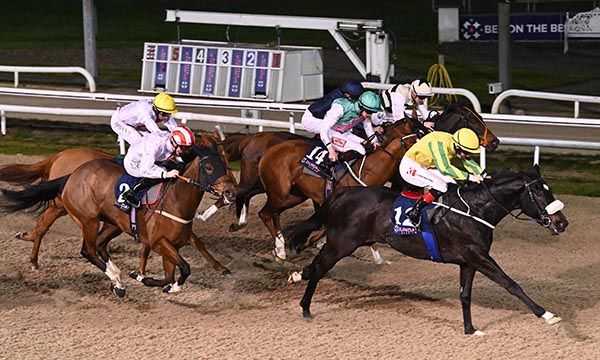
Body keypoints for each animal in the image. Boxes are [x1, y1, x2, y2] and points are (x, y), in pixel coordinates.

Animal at [1, 134, 237, 296]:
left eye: (225, 164)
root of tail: (72, 171)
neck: (176, 201)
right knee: (87, 249)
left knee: (98, 246)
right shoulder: (159, 241)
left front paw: (145, 278)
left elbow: (170, 274)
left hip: (113, 223)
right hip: (87, 218)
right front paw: (160, 282)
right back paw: (115, 278)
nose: (230, 192)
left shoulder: (173, 245)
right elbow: (185, 268)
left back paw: (117, 278)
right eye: (209, 167)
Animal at [220, 105, 496, 232]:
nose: (494, 142)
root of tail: (254, 138)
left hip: (281, 189)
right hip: (266, 182)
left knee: (253, 198)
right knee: (244, 194)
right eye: (472, 120)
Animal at [286, 166, 568, 334]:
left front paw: (470, 329)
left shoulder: (468, 262)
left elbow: (465, 296)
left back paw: (297, 276)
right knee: (319, 268)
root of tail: (342, 194)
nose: (562, 223)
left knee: (315, 265)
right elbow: (511, 284)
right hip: (343, 244)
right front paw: (547, 314)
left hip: (341, 243)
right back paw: (305, 307)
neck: (474, 211)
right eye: (539, 194)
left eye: (550, 191)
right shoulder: (479, 256)